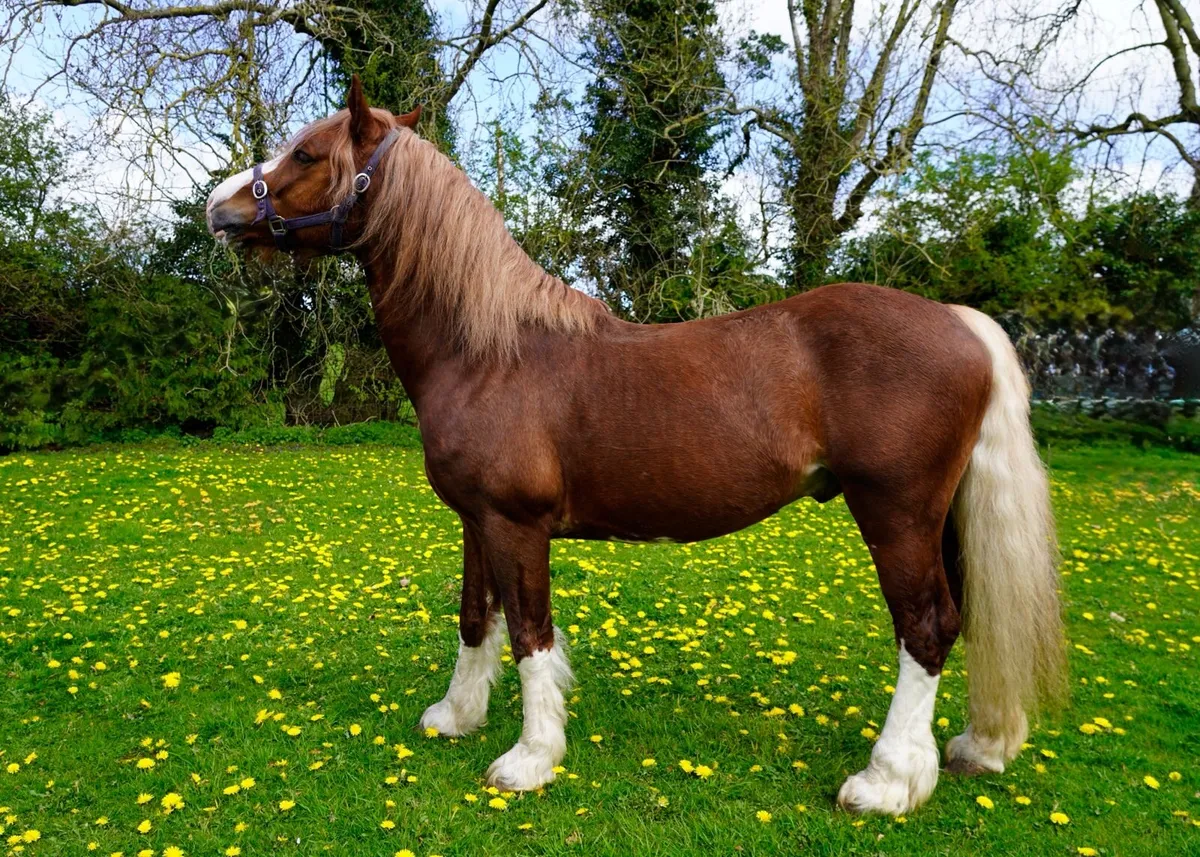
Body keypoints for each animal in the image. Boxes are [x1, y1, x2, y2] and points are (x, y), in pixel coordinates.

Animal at [205, 77, 1066, 816]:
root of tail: (959, 320)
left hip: (896, 512)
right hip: (940, 516)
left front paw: (529, 758)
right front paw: (455, 715)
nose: (217, 207)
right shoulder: (477, 519)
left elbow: (531, 632)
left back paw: (887, 781)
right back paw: (977, 745)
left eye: (307, 155)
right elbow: (476, 616)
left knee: (925, 627)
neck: (488, 350)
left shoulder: (517, 524)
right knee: (966, 616)